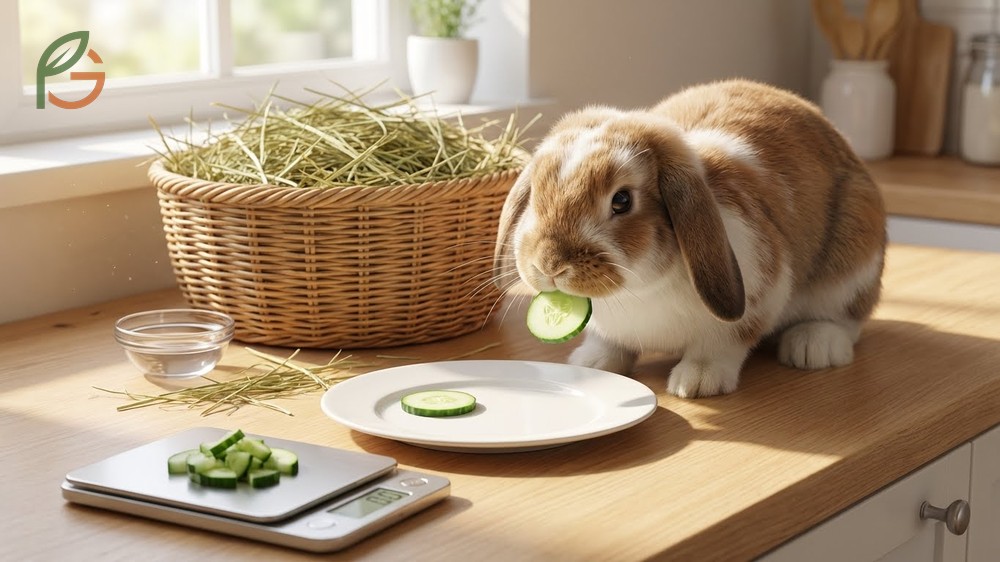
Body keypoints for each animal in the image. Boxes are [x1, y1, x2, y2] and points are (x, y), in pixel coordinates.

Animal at [492, 79, 887, 398]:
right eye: (536, 193)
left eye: (622, 200)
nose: (550, 265)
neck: (638, 290)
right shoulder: (609, 331)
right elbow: (608, 344)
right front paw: (590, 364)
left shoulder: (761, 293)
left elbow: (722, 343)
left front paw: (695, 383)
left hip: (853, 264)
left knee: (846, 318)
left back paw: (812, 348)